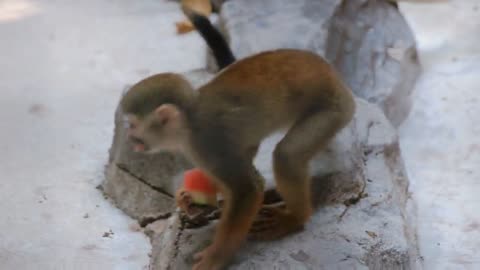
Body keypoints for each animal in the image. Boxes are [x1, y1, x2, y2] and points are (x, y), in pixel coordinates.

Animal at [123, 10, 356, 270]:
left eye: (132, 125)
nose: (130, 138)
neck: (188, 124)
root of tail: (333, 75)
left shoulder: (208, 142)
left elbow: (248, 189)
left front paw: (216, 257)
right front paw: (192, 198)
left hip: (333, 109)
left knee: (287, 155)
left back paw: (295, 218)